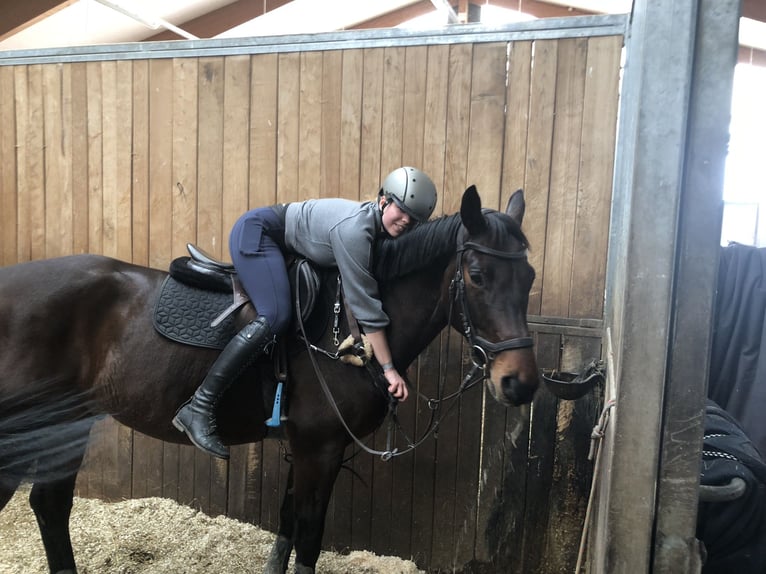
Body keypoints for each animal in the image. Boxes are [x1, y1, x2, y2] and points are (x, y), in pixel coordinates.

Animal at [0, 187, 540, 572]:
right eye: (476, 275)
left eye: (529, 276)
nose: (521, 383)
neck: (344, 327)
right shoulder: (319, 449)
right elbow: (308, 537)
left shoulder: (309, 447)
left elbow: (285, 528)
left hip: (69, 422)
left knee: (50, 505)